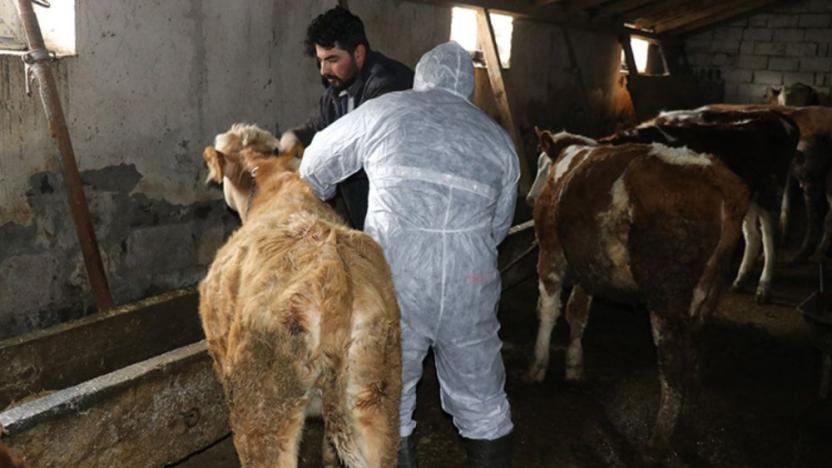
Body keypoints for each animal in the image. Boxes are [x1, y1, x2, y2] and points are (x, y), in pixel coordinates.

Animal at [528, 128, 752, 454]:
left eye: (541, 164)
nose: (529, 197)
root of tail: (714, 174)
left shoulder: (551, 251)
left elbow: (548, 310)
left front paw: (536, 368)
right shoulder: (588, 266)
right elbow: (577, 313)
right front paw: (574, 366)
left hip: (665, 290)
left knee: (670, 357)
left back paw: (658, 439)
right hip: (708, 289)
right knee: (692, 343)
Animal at [600, 108, 800, 302]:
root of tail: (779, 116)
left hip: (771, 189)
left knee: (769, 237)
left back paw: (763, 288)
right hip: (749, 193)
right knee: (753, 235)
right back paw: (740, 281)